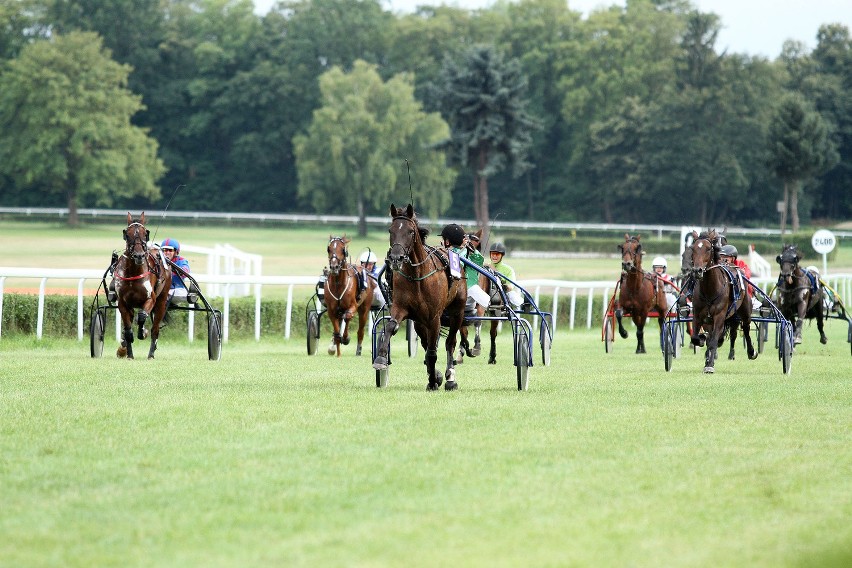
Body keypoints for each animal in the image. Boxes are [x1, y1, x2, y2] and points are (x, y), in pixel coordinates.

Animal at [113, 213, 173, 360]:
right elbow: (128, 329)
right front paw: (128, 354)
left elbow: (141, 317)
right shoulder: (122, 302)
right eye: (127, 234)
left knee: (155, 329)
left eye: (145, 233)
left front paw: (143, 332)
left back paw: (151, 354)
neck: (133, 272)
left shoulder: (150, 299)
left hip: (161, 302)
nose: (139, 256)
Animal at [372, 203, 466, 390]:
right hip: (419, 321)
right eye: (390, 230)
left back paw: (450, 377)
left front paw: (434, 381)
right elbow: (391, 327)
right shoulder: (402, 308)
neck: (417, 277)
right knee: (425, 342)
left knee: (450, 342)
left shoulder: (434, 317)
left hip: (457, 311)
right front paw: (381, 359)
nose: (396, 258)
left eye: (410, 231)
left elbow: (433, 351)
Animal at [688, 231, 756, 372]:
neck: (709, 290)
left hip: (745, 310)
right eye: (693, 248)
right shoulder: (698, 315)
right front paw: (702, 341)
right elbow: (696, 337)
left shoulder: (719, 315)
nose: (697, 270)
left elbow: (713, 339)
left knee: (746, 329)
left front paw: (709, 365)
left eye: (708, 249)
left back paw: (751, 352)